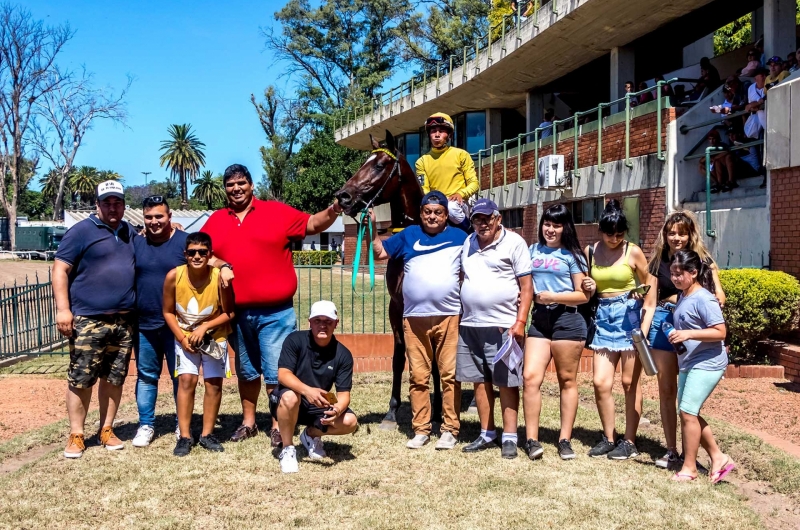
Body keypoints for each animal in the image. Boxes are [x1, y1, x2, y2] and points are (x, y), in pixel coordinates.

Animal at [332, 130, 444, 426]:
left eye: (380, 165)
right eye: (363, 162)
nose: (343, 197)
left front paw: (438, 410)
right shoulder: (397, 307)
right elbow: (398, 356)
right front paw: (392, 411)